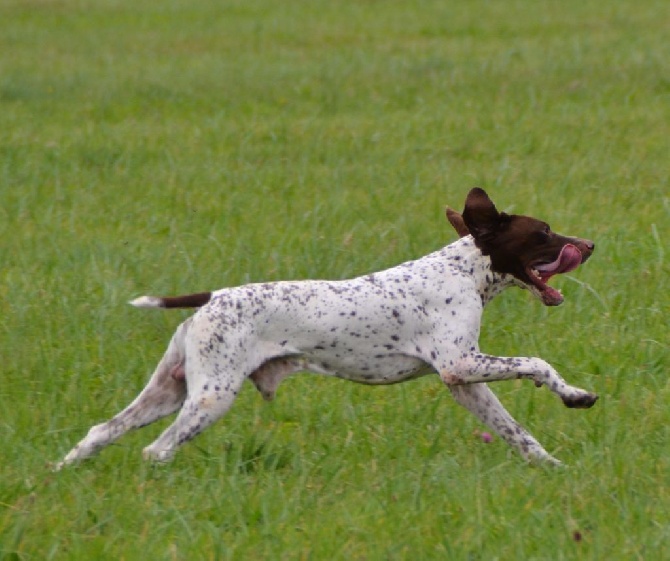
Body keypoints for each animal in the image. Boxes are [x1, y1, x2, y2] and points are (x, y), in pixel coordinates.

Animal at [56, 188, 600, 468]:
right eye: (543, 232)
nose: (590, 245)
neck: (464, 272)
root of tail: (211, 296)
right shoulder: (460, 364)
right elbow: (536, 362)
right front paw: (572, 394)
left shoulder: (466, 383)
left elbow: (516, 432)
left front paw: (554, 462)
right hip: (210, 397)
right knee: (156, 450)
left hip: (168, 392)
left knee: (102, 431)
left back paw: (58, 472)